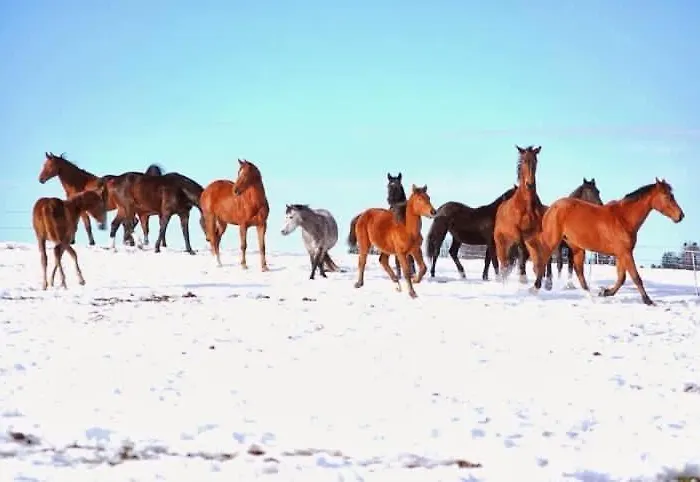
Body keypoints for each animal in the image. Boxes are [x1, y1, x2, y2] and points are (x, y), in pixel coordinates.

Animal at [493, 145, 553, 289]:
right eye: (524, 161)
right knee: (504, 263)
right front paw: (523, 277)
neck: (527, 206)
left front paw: (546, 281)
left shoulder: (536, 234)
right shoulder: (517, 232)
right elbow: (522, 251)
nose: (529, 184)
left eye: (535, 161)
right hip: (501, 244)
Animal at [530, 178, 684, 305]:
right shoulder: (625, 253)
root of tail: (552, 208)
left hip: (576, 248)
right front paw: (648, 300)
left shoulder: (621, 254)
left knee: (578, 270)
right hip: (553, 241)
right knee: (543, 259)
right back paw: (536, 288)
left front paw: (605, 292)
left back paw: (590, 296)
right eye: (667, 196)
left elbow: (621, 278)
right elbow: (635, 277)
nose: (680, 216)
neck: (624, 218)